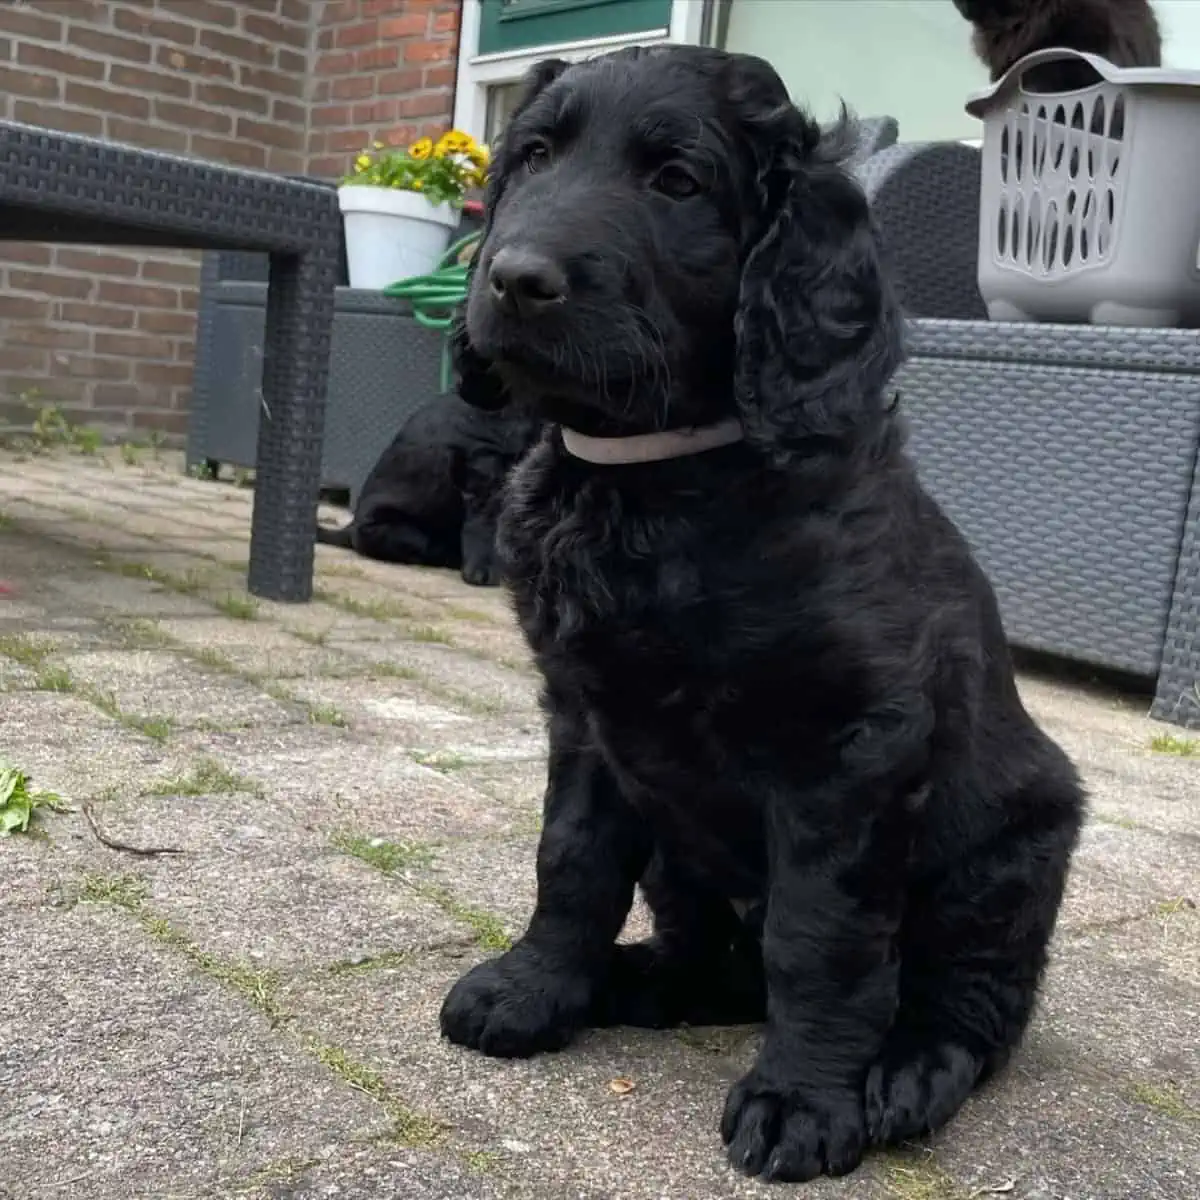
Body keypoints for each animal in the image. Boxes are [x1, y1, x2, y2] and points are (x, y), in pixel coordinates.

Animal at [439, 44, 1089, 1180]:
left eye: (677, 183)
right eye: (534, 157)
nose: (513, 278)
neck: (662, 479)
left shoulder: (849, 747)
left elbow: (819, 935)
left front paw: (803, 1100)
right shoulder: (588, 716)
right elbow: (571, 862)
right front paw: (535, 990)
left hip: (1011, 852)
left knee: (972, 1008)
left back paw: (905, 1073)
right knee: (718, 966)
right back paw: (631, 980)